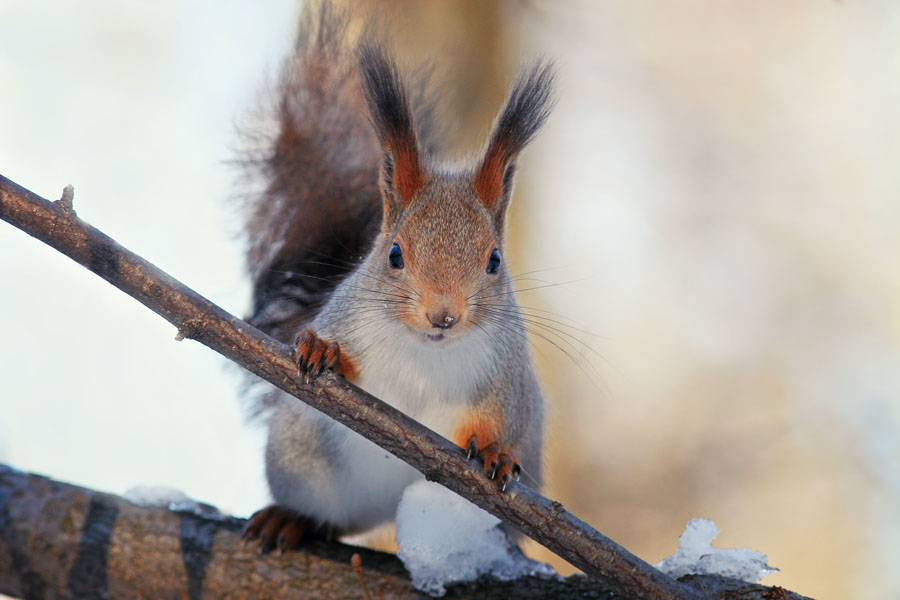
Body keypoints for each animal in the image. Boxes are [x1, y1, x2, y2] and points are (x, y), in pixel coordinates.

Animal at [241, 4, 556, 552]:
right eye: (394, 255)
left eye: (494, 261)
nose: (443, 316)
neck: (426, 353)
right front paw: (321, 350)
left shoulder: (507, 374)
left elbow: (501, 417)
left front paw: (494, 451)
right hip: (305, 463)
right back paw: (291, 519)